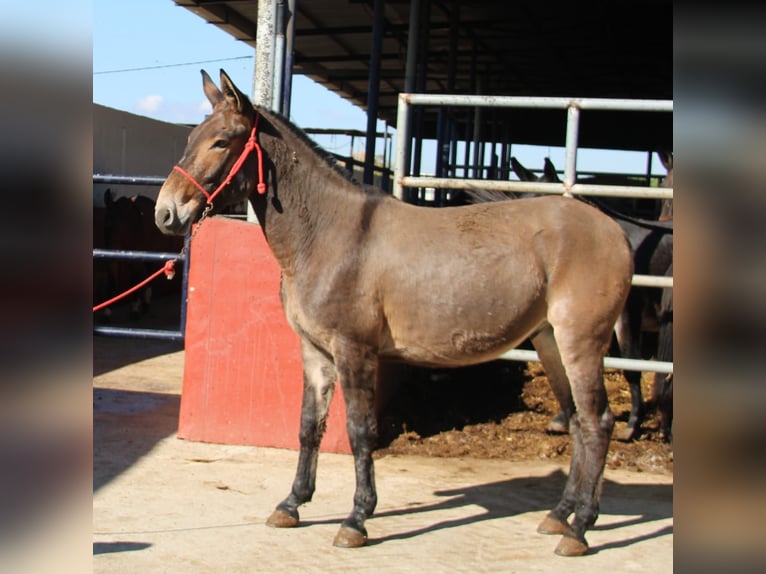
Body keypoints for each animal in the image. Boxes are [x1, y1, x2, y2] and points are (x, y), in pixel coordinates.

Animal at [154, 69, 634, 557]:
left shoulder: (355, 351)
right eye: (192, 137)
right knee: (578, 421)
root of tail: (612, 228)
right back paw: (560, 516)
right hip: (550, 340)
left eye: (222, 142)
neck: (330, 235)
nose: (166, 213)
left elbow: (360, 430)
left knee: (598, 423)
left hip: (580, 344)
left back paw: (579, 528)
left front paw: (357, 519)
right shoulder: (315, 353)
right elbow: (309, 426)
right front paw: (292, 504)